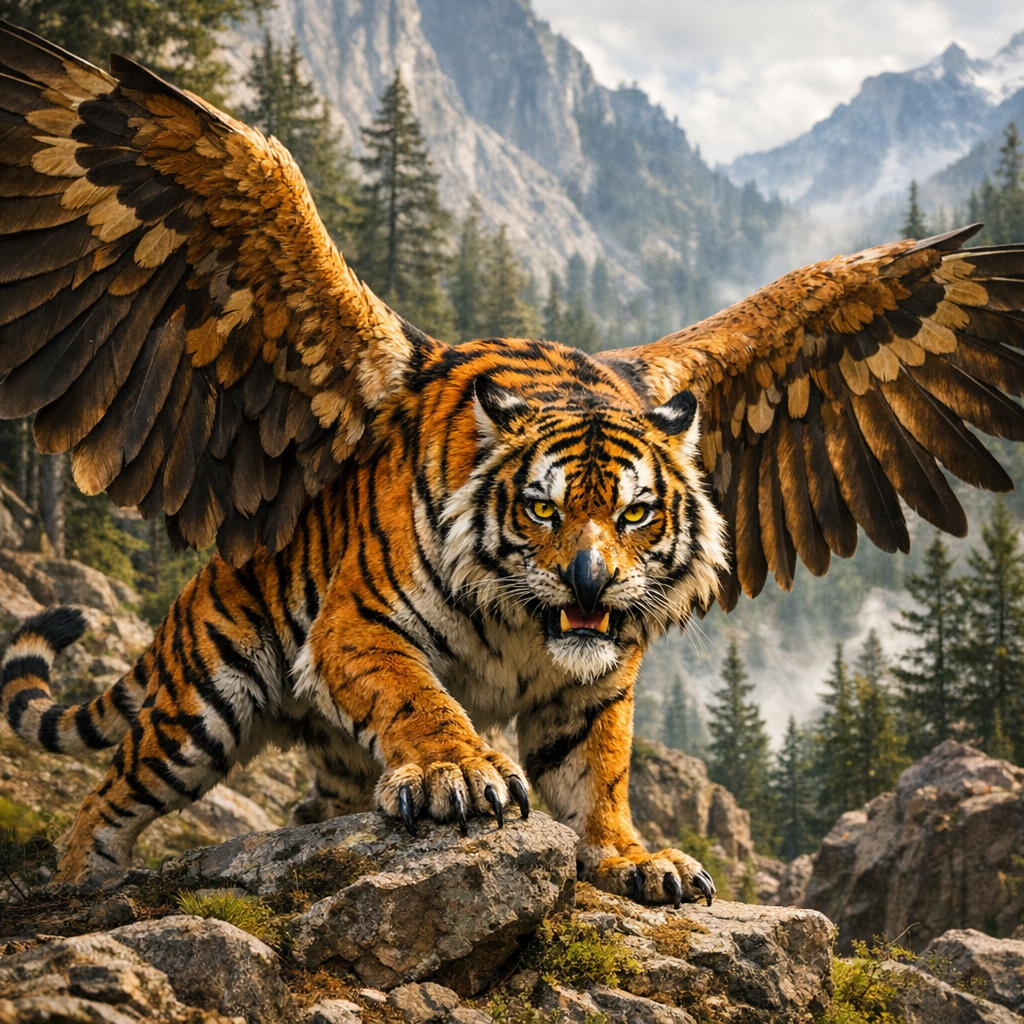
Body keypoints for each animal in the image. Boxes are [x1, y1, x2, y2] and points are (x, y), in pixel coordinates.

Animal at [3, 19, 1024, 904]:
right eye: (541, 508)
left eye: (637, 513)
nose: (590, 581)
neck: (525, 622)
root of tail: (201, 581)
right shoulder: (359, 623)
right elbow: (418, 697)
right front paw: (459, 773)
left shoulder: (598, 682)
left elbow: (597, 773)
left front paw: (633, 858)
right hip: (201, 707)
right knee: (107, 796)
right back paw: (80, 882)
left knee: (306, 801)